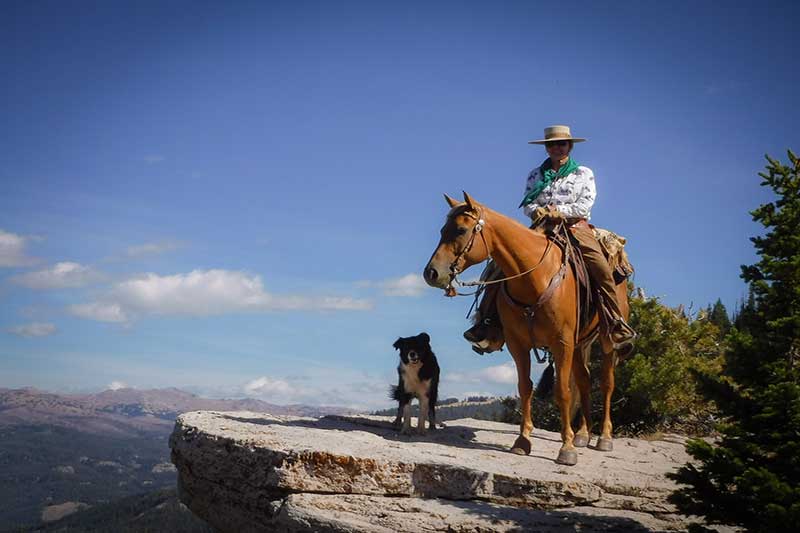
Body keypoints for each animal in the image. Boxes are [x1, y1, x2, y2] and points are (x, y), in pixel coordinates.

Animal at [422, 192, 628, 466]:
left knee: (605, 382)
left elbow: (562, 392)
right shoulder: (517, 344)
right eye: (442, 230)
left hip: (606, 342)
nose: (431, 273)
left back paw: (604, 437)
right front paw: (522, 441)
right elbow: (525, 388)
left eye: (461, 230)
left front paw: (566, 449)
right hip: (580, 344)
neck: (534, 277)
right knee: (584, 381)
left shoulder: (562, 342)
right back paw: (583, 434)